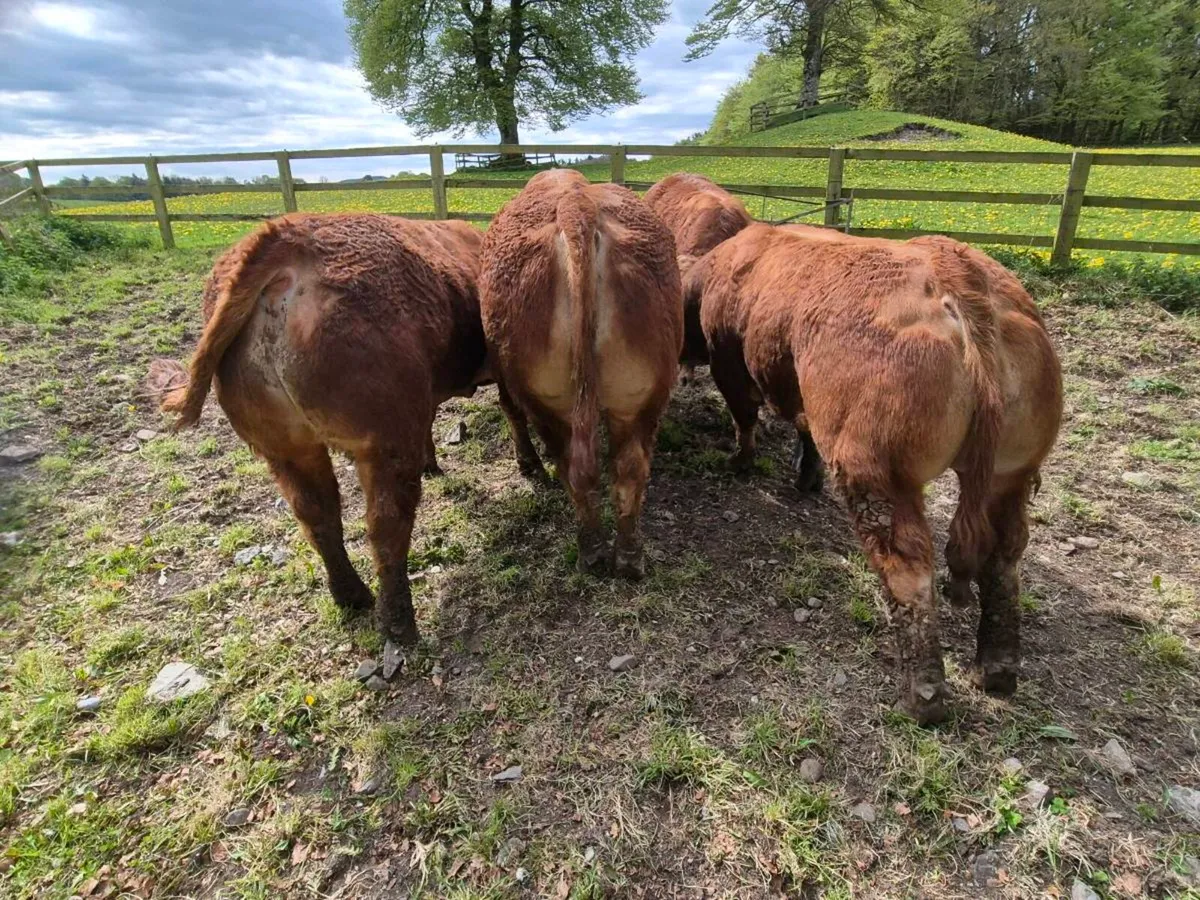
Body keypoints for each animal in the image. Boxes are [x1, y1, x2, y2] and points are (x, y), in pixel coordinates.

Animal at [146, 213, 488, 651]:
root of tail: (285, 239)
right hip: (385, 441)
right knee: (385, 524)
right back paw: (400, 626)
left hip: (285, 448)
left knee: (316, 514)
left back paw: (352, 596)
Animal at [480, 169, 683, 578]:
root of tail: (576, 206)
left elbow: (510, 409)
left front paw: (528, 463)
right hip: (638, 396)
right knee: (630, 470)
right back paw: (629, 556)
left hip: (551, 402)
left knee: (574, 468)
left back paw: (590, 551)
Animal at [685, 223, 1062, 723]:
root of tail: (957, 276)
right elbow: (803, 430)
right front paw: (806, 476)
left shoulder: (729, 362)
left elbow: (744, 416)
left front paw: (741, 461)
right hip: (1012, 472)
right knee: (1004, 556)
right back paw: (995, 669)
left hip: (877, 472)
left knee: (909, 566)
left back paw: (923, 695)